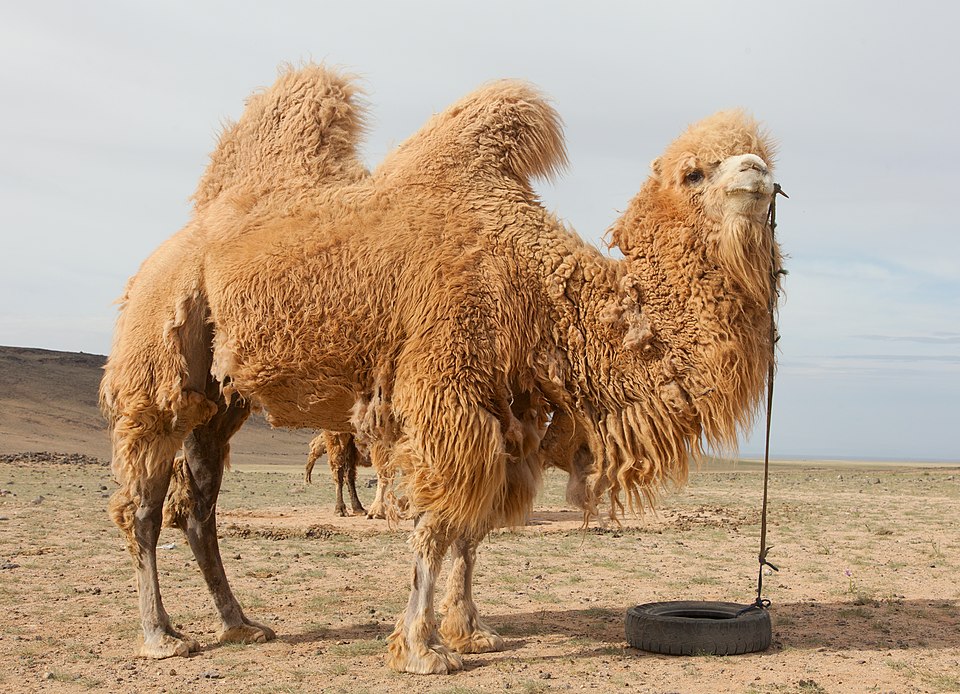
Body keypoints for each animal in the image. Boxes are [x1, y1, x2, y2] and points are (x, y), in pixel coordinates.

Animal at [100, 64, 782, 673]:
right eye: (694, 171)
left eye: (760, 159)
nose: (757, 171)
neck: (537, 285)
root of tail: (174, 243)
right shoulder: (446, 387)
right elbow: (436, 527)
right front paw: (422, 651)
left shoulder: (507, 408)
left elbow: (472, 530)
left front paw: (470, 632)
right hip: (159, 349)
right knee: (142, 504)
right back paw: (162, 637)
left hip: (221, 398)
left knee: (197, 504)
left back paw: (240, 624)